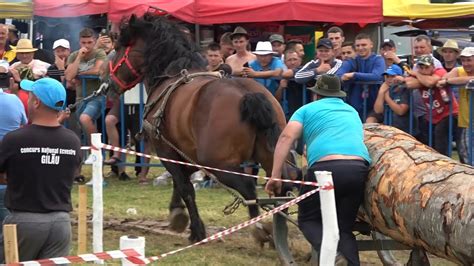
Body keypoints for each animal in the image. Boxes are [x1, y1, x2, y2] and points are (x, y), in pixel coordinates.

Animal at [108, 14, 288, 243]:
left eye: (119, 47)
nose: (108, 83)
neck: (170, 73)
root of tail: (248, 95)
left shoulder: (167, 150)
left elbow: (185, 187)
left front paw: (194, 228)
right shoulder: (186, 153)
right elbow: (181, 183)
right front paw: (177, 213)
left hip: (218, 164)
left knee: (249, 187)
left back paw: (259, 227)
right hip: (270, 155)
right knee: (285, 181)